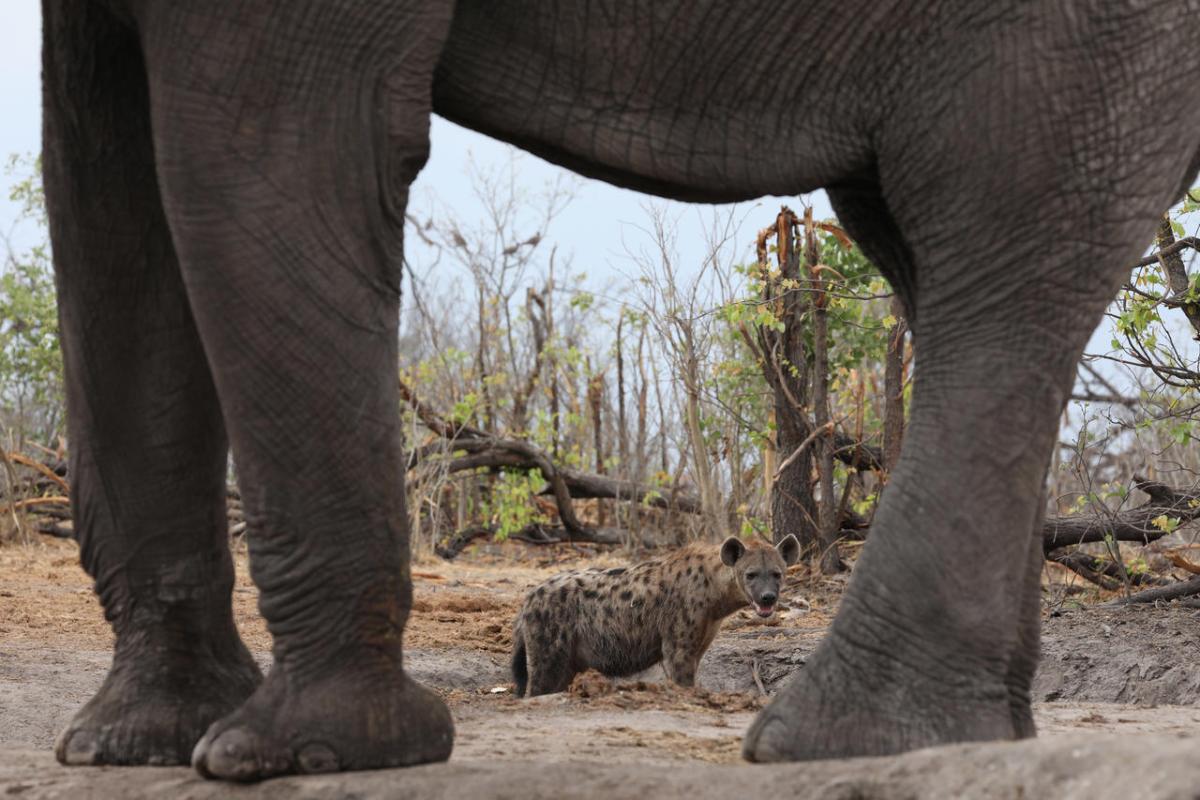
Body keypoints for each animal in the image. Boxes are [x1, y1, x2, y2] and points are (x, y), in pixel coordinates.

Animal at [40, 0, 1200, 784]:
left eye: (775, 578)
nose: (772, 595)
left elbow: (259, 156)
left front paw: (279, 752)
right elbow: (100, 183)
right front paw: (129, 745)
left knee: (1003, 244)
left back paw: (827, 741)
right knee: (933, 247)